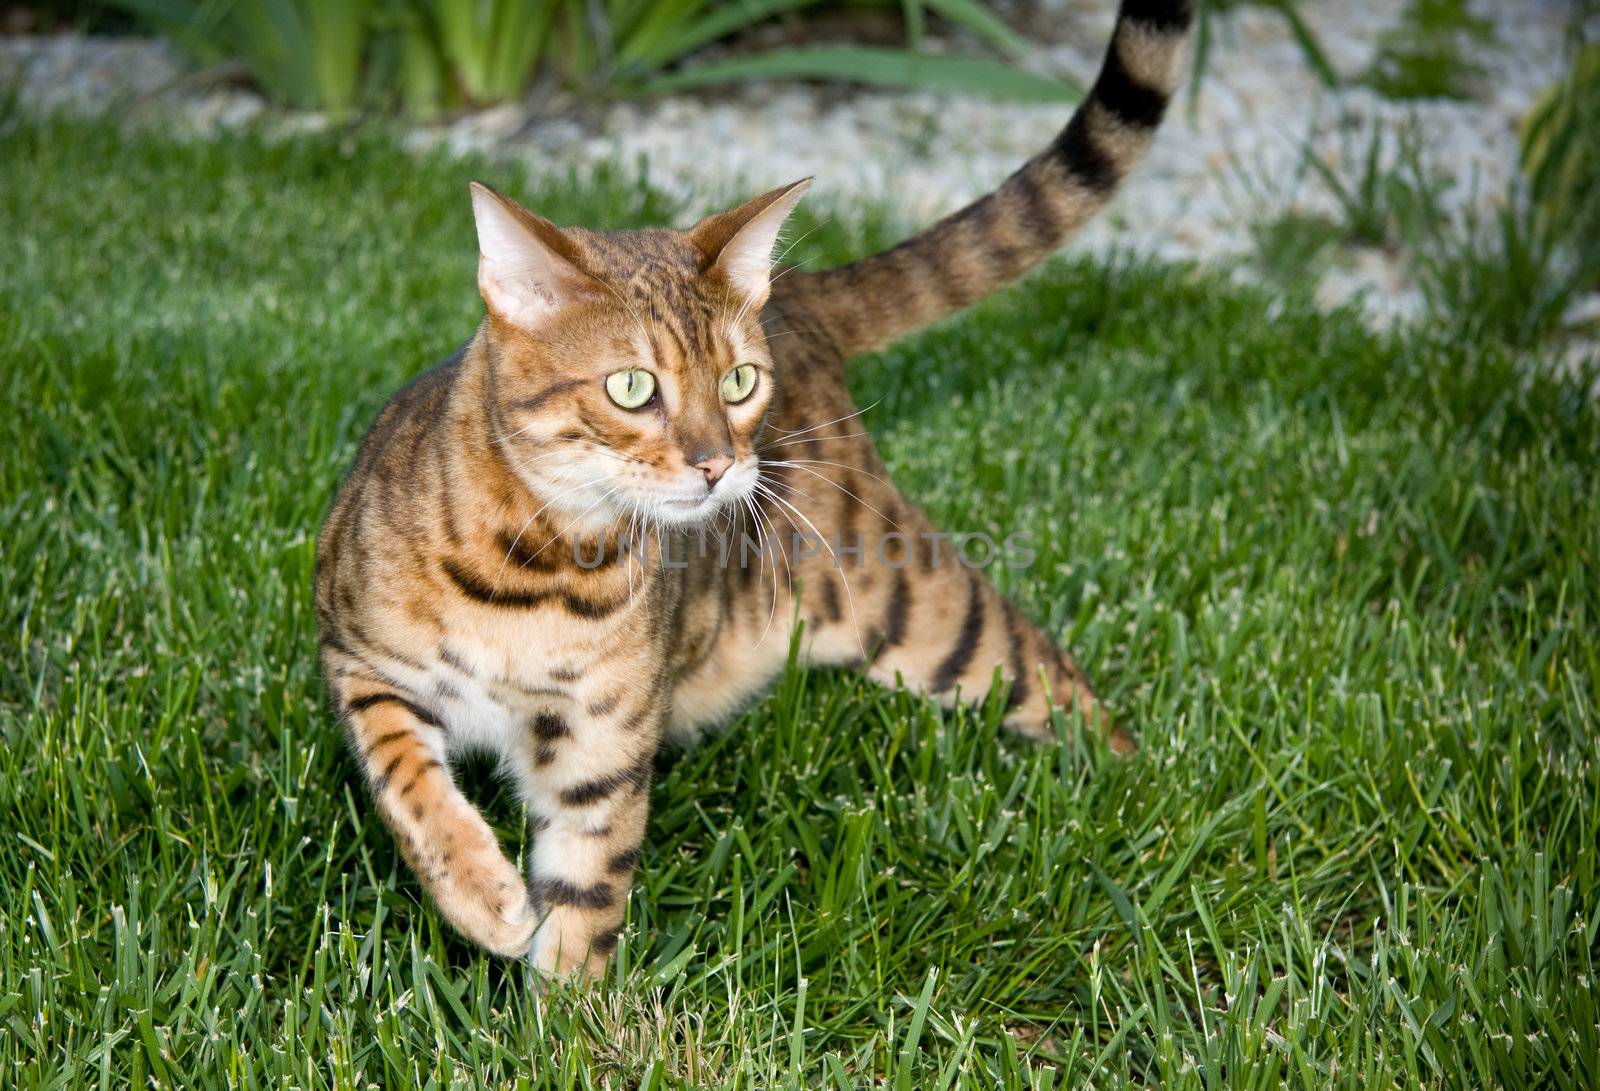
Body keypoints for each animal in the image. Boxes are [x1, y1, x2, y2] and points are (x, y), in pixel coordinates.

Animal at [315, 0, 1190, 972]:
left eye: (738, 382)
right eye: (632, 387)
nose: (717, 462)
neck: (537, 572)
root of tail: (796, 292)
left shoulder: (601, 748)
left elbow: (585, 898)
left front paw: (566, 1003)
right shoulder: (356, 656)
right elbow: (405, 778)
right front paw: (481, 895)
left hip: (918, 606)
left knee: (1052, 673)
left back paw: (1146, 789)